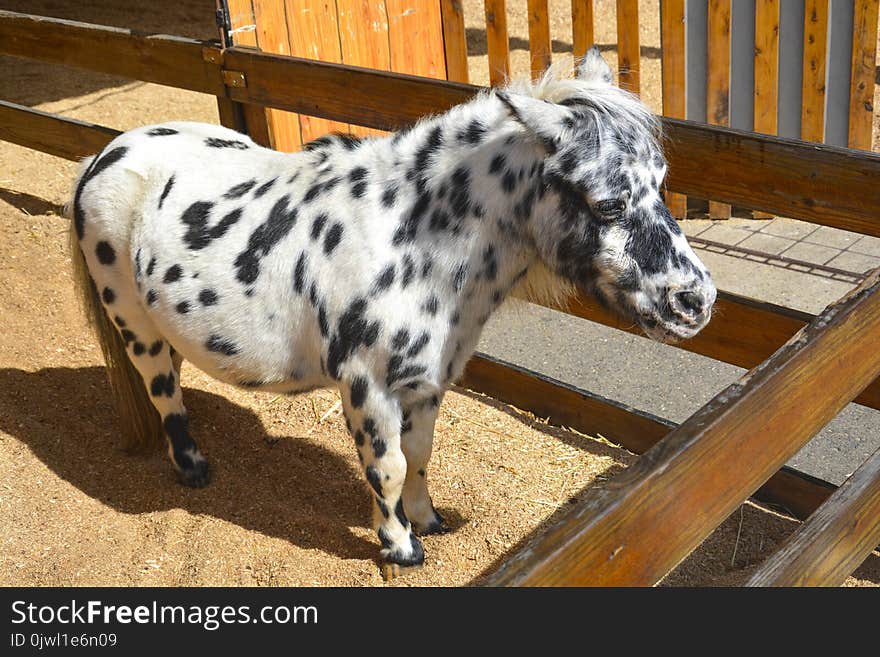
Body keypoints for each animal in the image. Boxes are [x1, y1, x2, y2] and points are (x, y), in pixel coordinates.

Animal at [69, 48, 716, 576]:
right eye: (607, 203)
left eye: (660, 182)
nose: (695, 301)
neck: (410, 243)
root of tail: (106, 153)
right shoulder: (367, 387)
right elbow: (388, 468)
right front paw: (401, 548)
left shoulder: (426, 384)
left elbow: (420, 458)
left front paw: (427, 521)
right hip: (134, 325)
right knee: (162, 390)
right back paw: (192, 466)